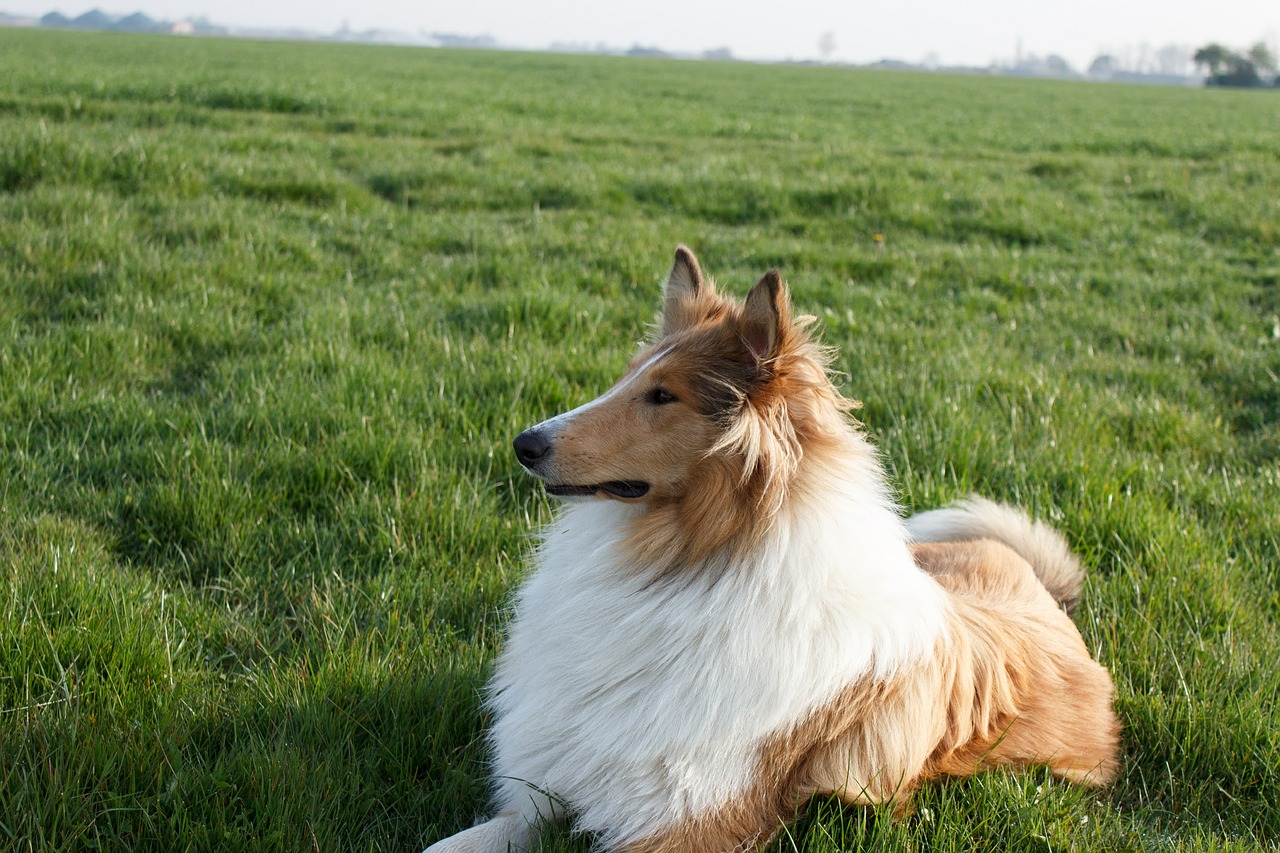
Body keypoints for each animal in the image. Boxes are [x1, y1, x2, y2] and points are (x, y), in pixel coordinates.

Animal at [424, 245, 1116, 850]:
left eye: (662, 395)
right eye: (628, 381)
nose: (523, 444)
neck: (691, 565)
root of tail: (1044, 593)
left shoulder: (693, 821)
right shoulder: (546, 795)